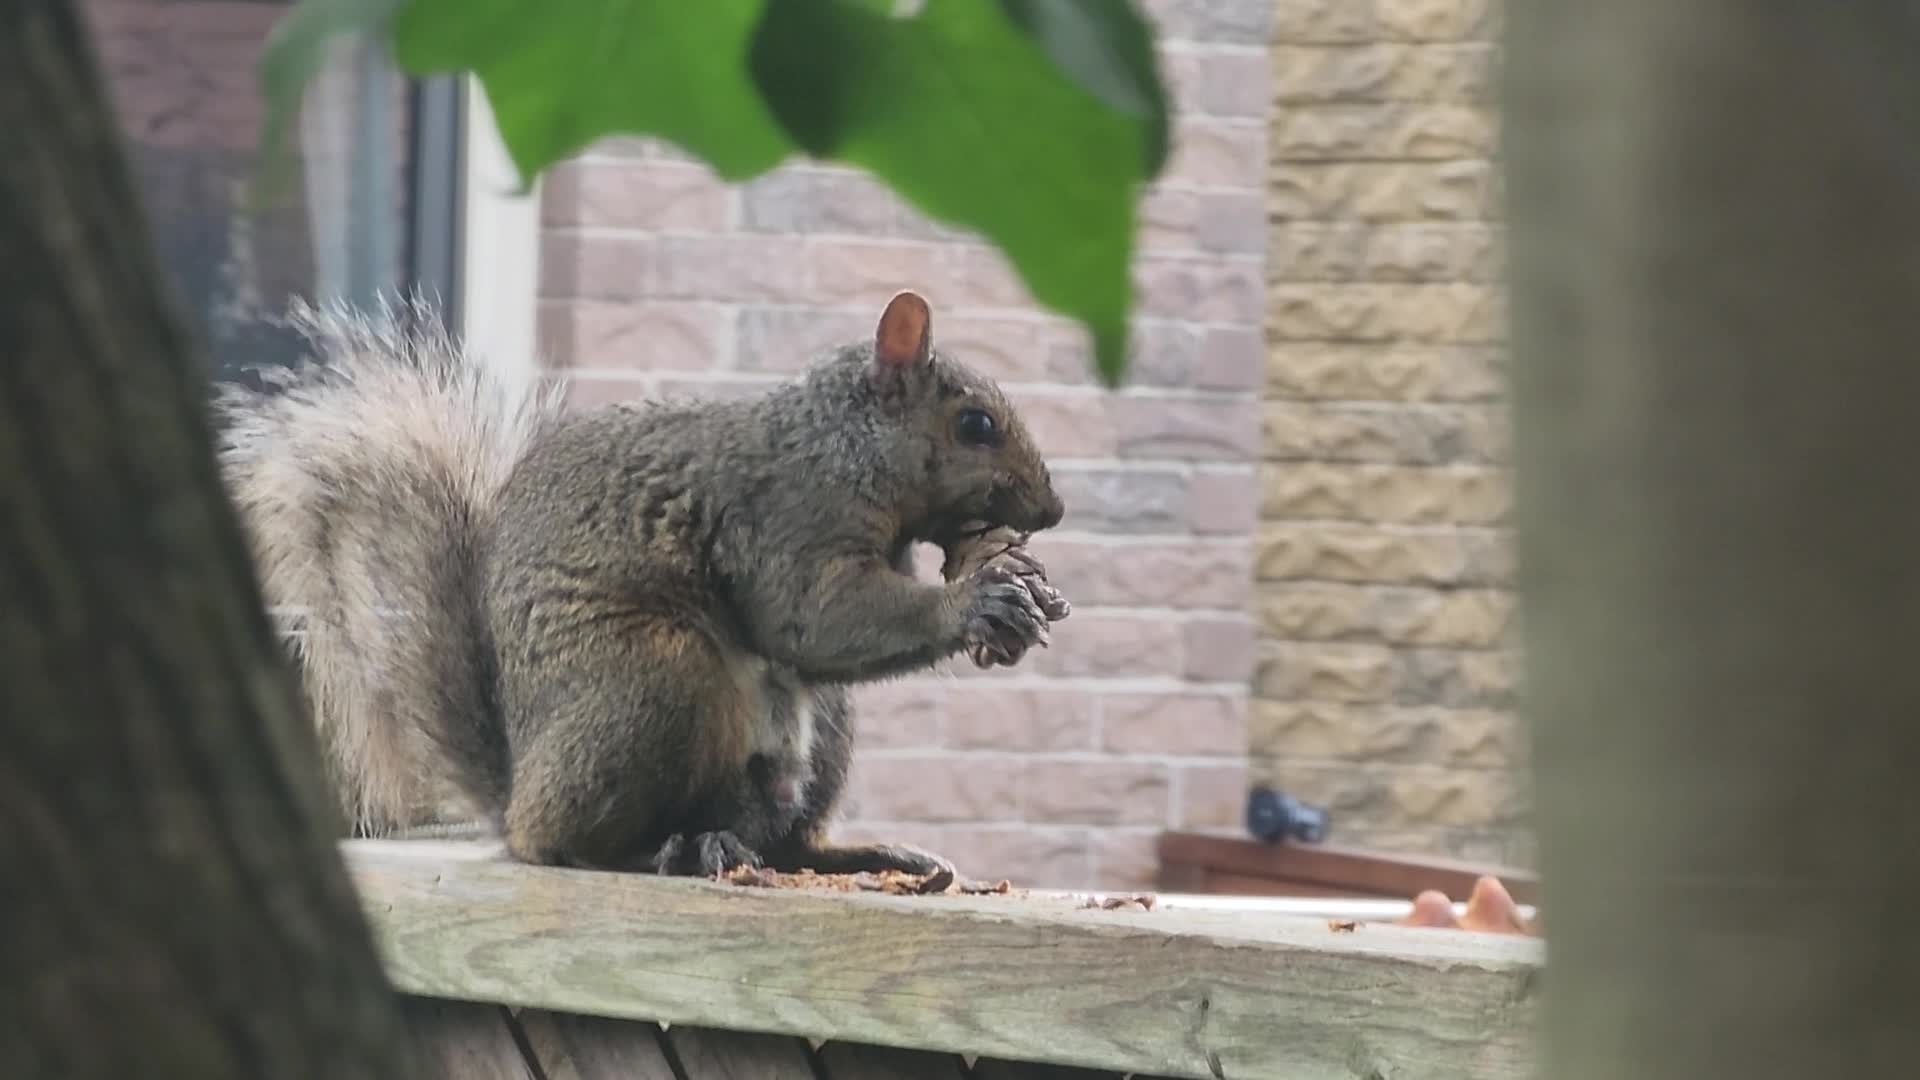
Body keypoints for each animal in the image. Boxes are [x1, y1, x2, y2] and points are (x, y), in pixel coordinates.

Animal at [214, 290, 1071, 878]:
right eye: (975, 425)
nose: (1052, 509)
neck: (838, 445)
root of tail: (517, 794)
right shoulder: (781, 521)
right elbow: (810, 618)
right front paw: (976, 600)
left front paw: (1018, 585)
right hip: (654, 680)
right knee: (573, 844)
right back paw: (666, 851)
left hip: (820, 732)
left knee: (785, 841)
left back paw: (860, 855)